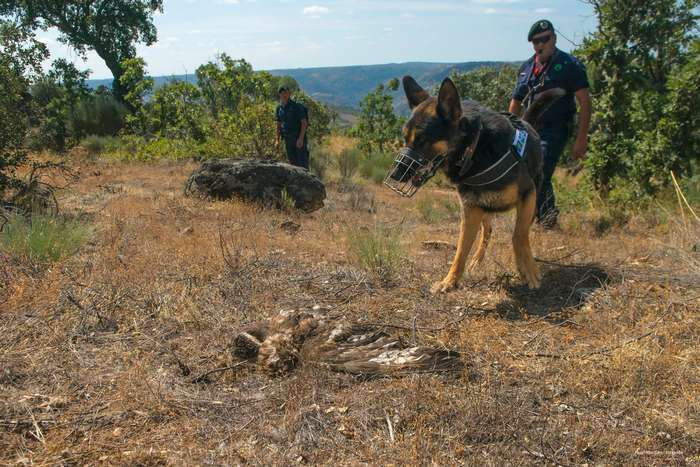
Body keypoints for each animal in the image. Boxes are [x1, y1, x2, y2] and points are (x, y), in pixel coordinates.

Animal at [386, 77, 568, 296]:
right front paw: (450, 280)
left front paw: (528, 270)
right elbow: (461, 249)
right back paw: (477, 259)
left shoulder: (528, 195)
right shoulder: (471, 209)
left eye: (422, 139)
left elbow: (518, 235)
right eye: (405, 138)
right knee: (487, 231)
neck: (473, 148)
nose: (395, 175)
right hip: (485, 206)